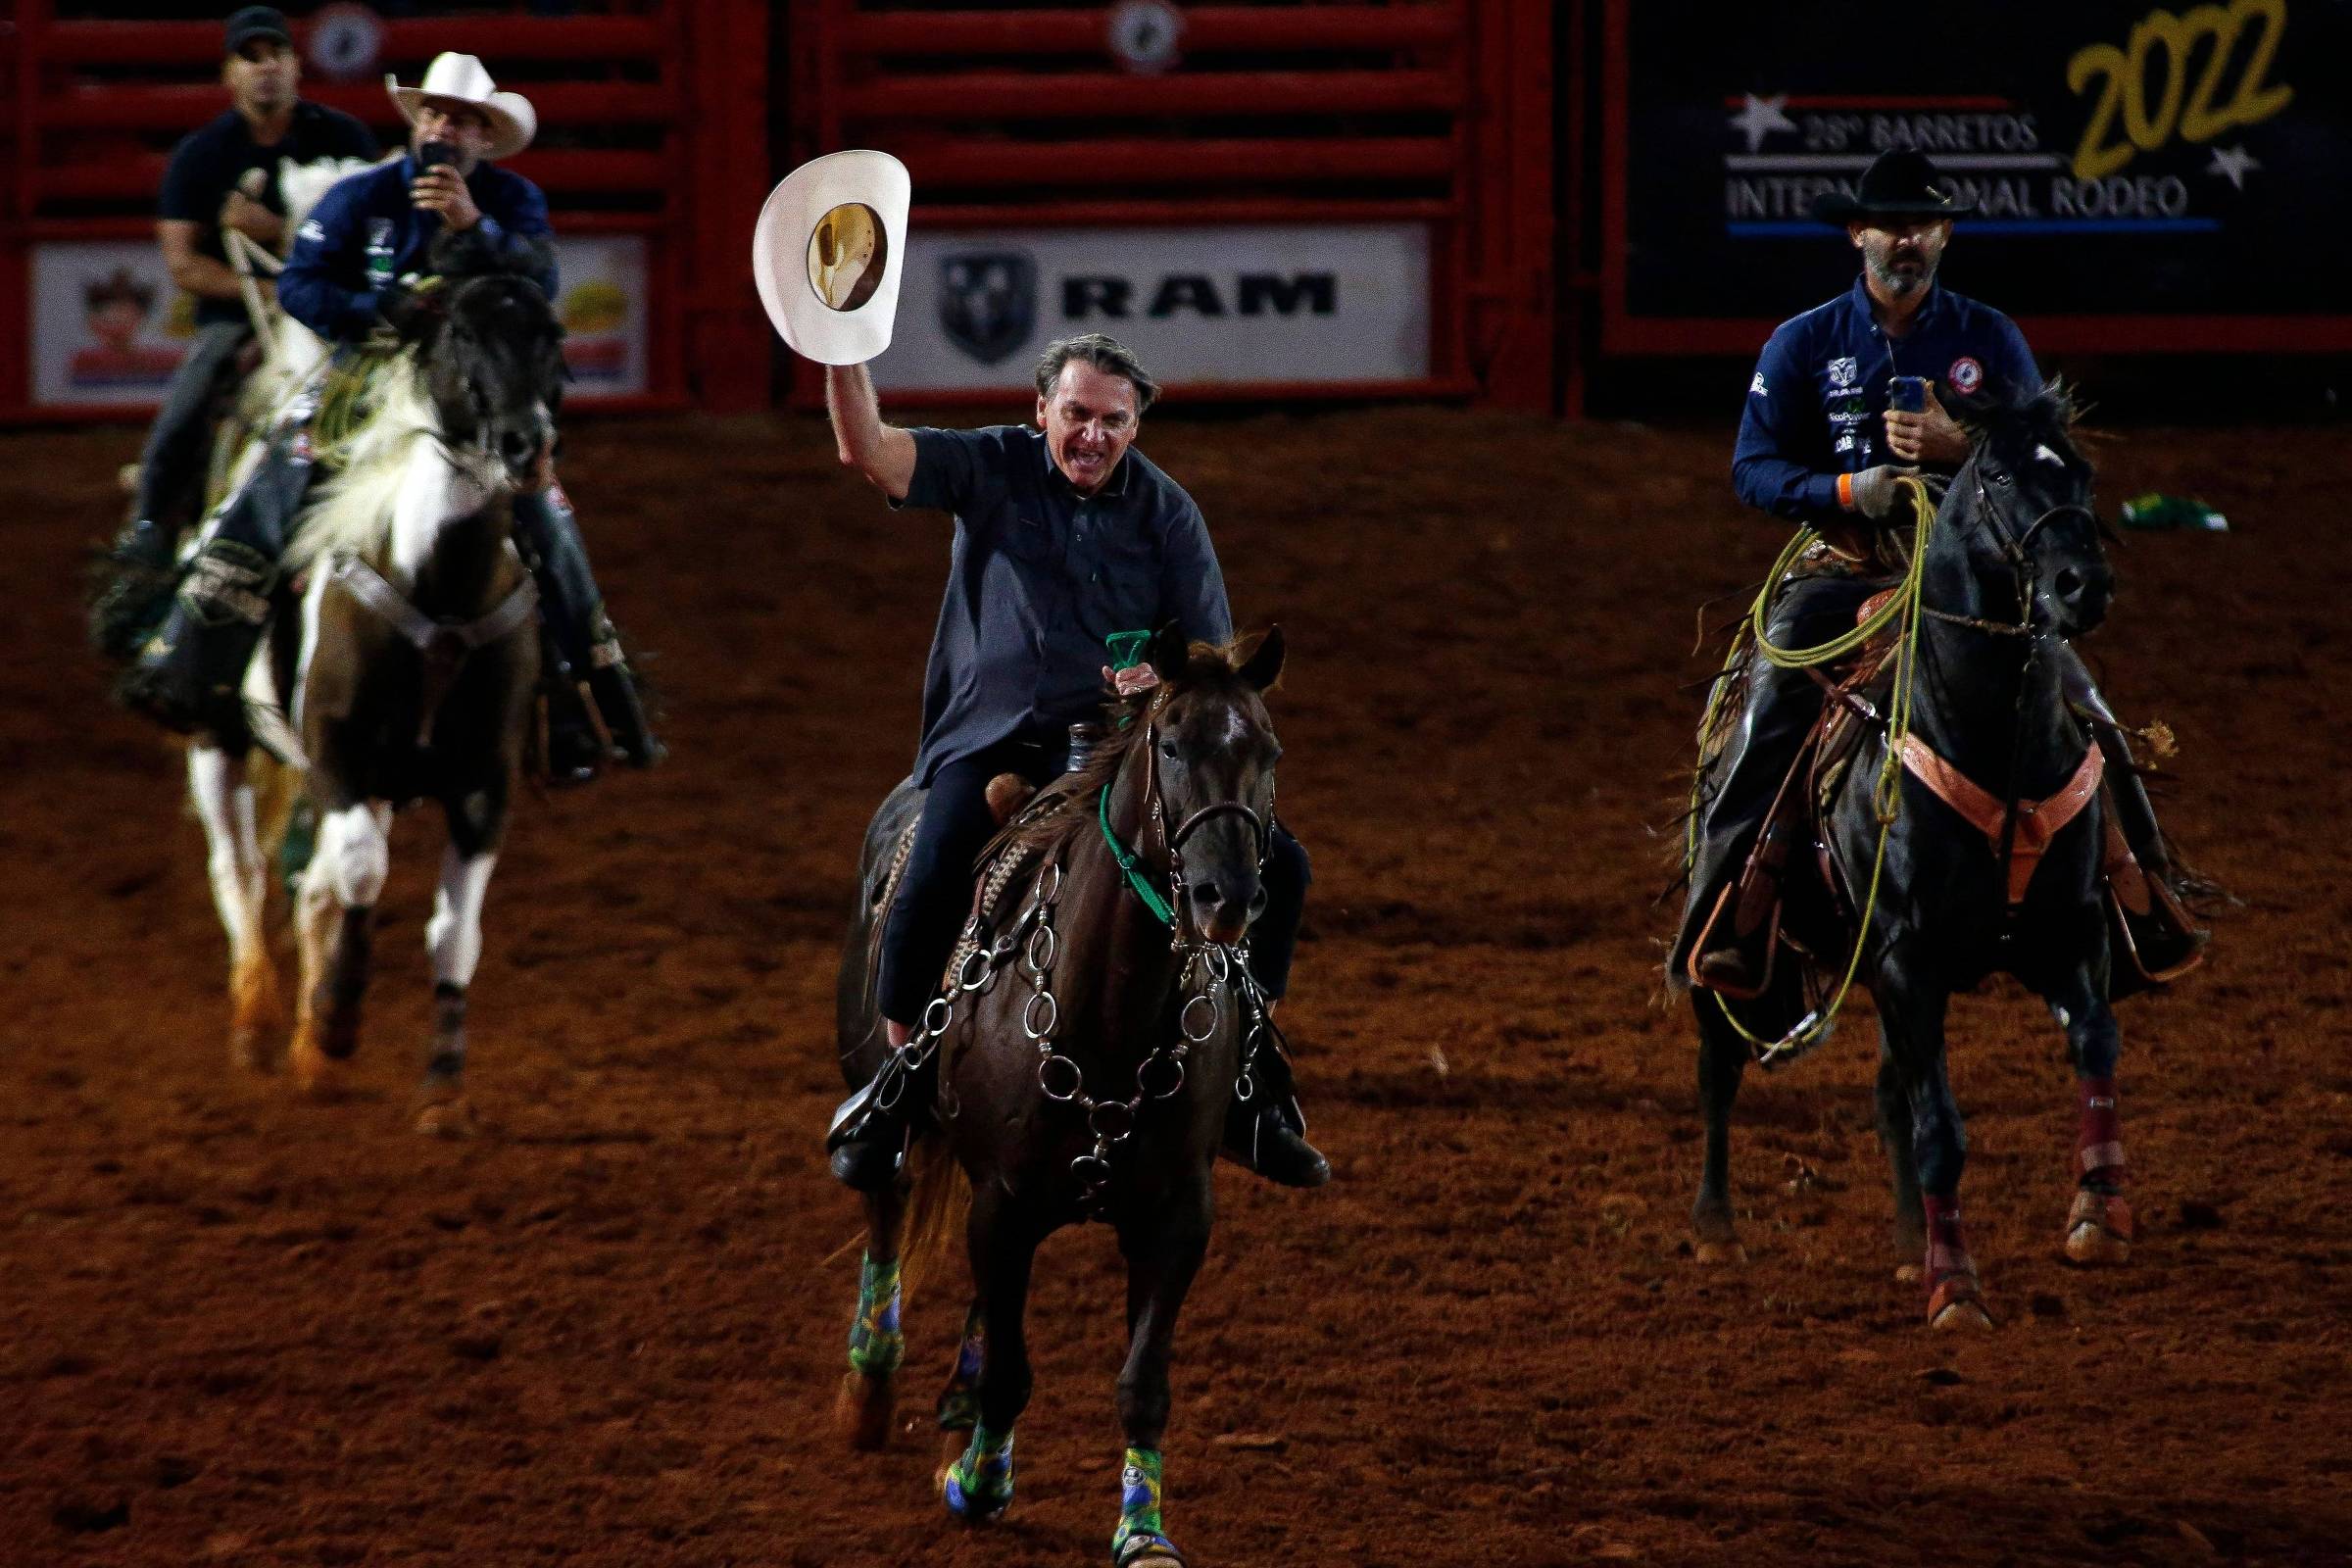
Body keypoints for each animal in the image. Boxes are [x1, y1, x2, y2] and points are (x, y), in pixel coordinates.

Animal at [837, 625, 1298, 1568]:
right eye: (1172, 744)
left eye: (1267, 751)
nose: (1228, 898)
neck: (1111, 1015)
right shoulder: (1004, 1203)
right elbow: (1014, 1369)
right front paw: (979, 1485)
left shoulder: (1177, 1217)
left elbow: (1142, 1383)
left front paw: (1143, 1531)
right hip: (884, 1095)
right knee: (887, 1203)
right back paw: (871, 1387)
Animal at [1693, 385, 2154, 1335]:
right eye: (2002, 475)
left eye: (2083, 470)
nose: (2082, 585)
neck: (1990, 741)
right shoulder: (1910, 958)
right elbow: (1940, 1125)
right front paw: (1959, 1289)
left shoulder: (2069, 928)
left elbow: (2095, 1041)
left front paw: (2098, 1209)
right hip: (1736, 934)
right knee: (1719, 1059)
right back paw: (1717, 1229)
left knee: (1886, 1096)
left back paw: (1911, 1244)